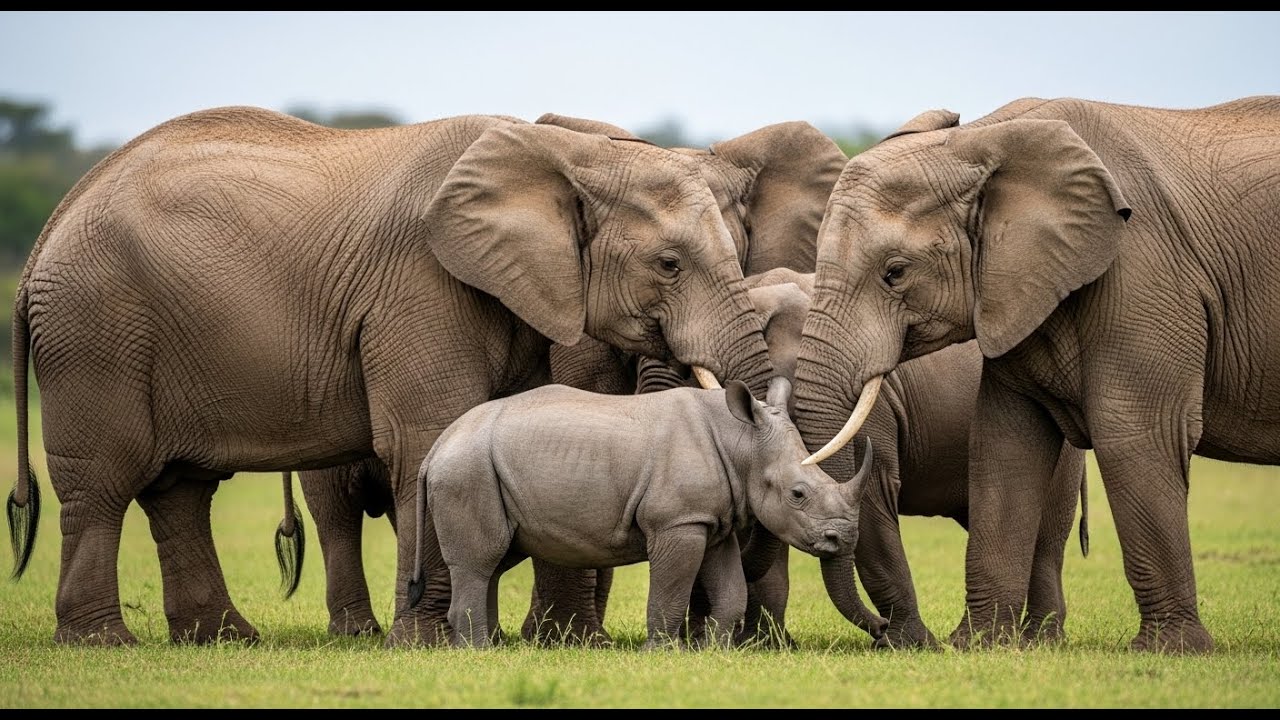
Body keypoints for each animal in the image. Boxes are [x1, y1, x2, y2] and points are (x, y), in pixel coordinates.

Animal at [4, 106, 776, 647]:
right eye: (669, 264)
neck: (563, 155)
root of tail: (48, 230)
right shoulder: (420, 286)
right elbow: (428, 435)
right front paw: (435, 643)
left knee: (180, 489)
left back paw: (221, 639)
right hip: (94, 329)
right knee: (104, 480)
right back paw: (103, 640)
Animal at [418, 376, 886, 649]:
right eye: (797, 494)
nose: (882, 629)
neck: (741, 440)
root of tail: (437, 447)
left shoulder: (712, 521)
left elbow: (732, 589)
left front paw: (714, 651)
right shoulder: (678, 521)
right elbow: (672, 587)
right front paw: (661, 653)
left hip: (480, 467)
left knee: (497, 559)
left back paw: (493, 648)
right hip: (468, 469)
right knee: (480, 561)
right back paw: (479, 652)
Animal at [790, 96, 1280, 654]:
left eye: (895, 273)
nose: (877, 632)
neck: (985, 140)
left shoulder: (1145, 272)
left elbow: (1136, 433)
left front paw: (1170, 650)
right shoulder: (1017, 287)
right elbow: (1005, 446)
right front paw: (976, 645)